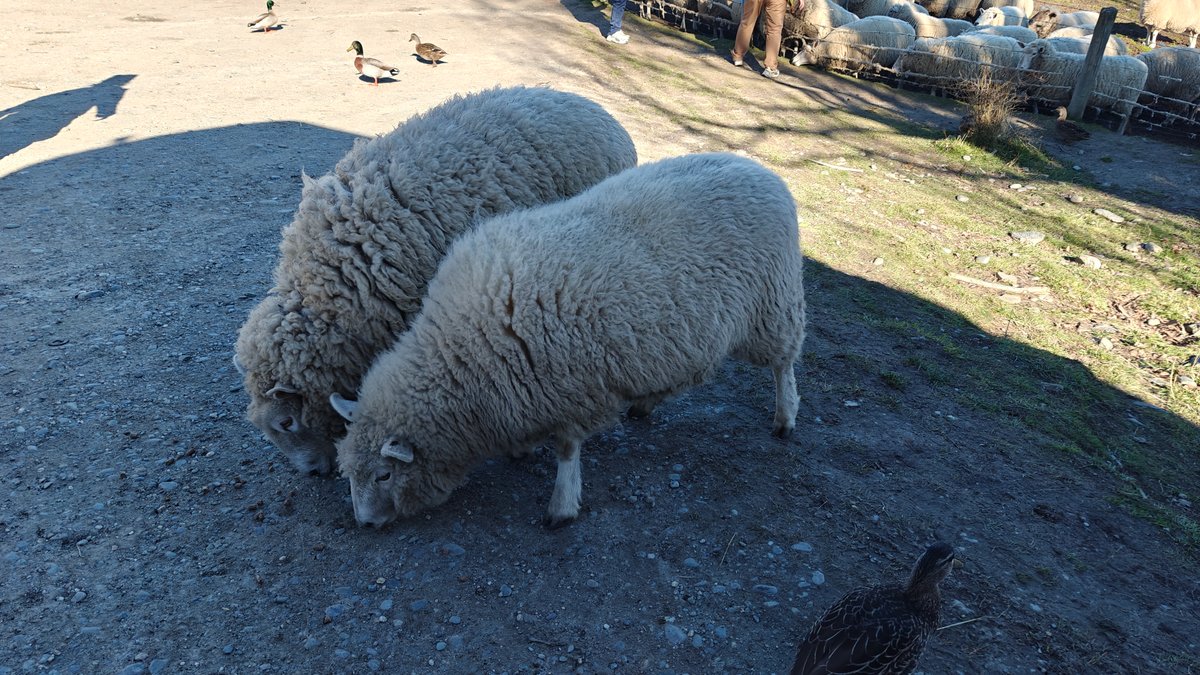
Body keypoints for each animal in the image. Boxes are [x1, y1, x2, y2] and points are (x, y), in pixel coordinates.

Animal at [331, 153, 806, 528]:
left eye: (384, 475)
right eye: (350, 474)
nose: (365, 524)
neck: (462, 353)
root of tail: (761, 170)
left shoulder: (574, 389)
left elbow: (566, 450)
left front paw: (561, 507)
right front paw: (522, 451)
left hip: (773, 304)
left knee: (783, 363)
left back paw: (785, 418)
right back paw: (647, 403)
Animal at [1017, 39, 1149, 118]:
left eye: (1034, 54)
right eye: (1022, 52)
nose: (1022, 68)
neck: (1054, 63)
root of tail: (1143, 65)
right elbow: (1034, 101)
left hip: (1127, 99)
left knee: (1125, 118)